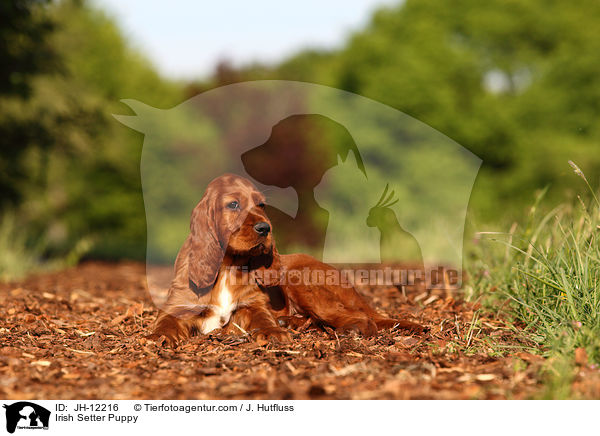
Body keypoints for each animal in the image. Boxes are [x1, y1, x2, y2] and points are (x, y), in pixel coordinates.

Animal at [149, 174, 422, 344]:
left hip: (301, 278)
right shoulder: (177, 307)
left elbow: (262, 317)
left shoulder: (253, 305)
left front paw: (273, 332)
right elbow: (165, 323)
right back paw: (289, 321)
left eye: (261, 205)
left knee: (361, 319)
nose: (265, 228)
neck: (228, 265)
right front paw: (155, 338)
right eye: (233, 204)